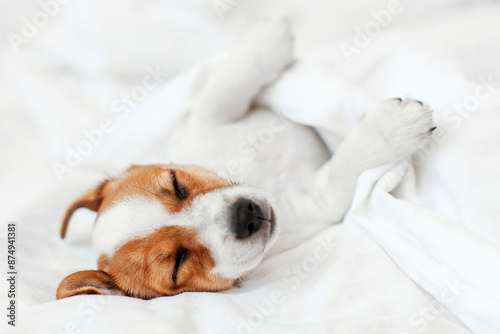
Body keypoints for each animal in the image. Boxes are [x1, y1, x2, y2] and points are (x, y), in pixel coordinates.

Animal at [56, 20, 436, 300]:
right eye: (177, 265)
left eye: (176, 181)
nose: (245, 214)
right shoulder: (319, 201)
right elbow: (341, 172)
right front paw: (391, 130)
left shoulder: (208, 120)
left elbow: (218, 91)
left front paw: (263, 42)